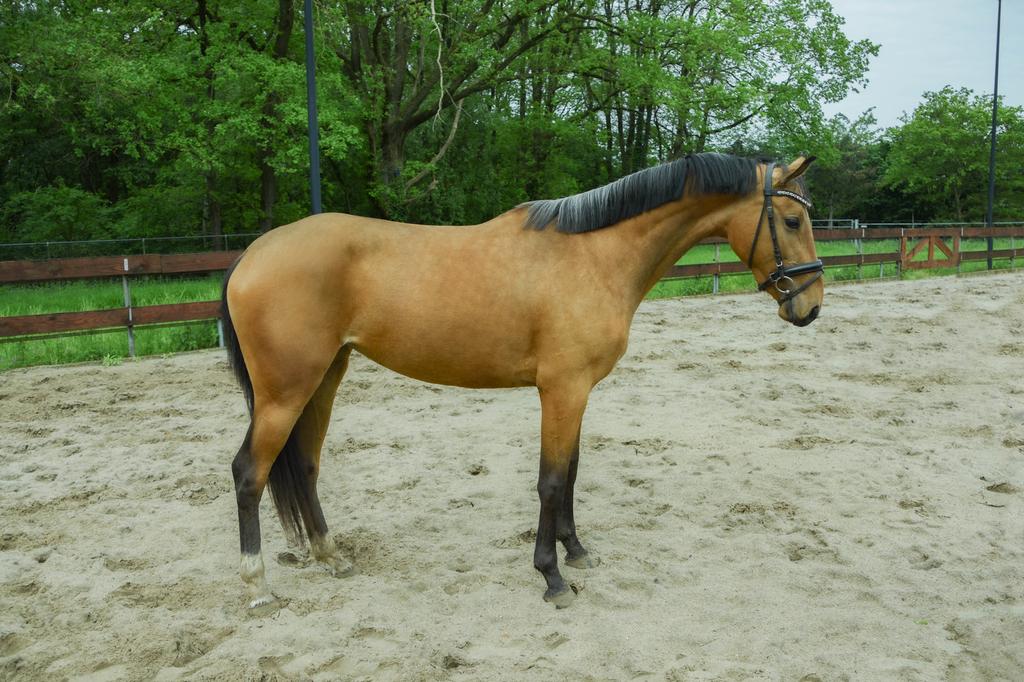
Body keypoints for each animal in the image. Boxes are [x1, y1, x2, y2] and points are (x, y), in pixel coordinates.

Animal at [220, 153, 825, 612]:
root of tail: (251, 253)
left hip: (324, 378)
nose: (811, 306)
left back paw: (330, 555)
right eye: (792, 222)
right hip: (285, 393)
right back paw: (257, 586)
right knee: (250, 473)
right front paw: (552, 576)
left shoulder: (577, 392)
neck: (594, 255)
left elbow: (572, 473)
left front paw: (576, 550)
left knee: (307, 466)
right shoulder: (562, 389)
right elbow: (552, 481)